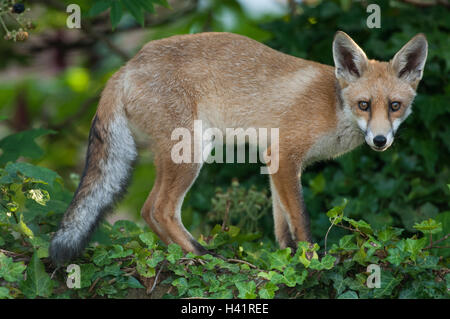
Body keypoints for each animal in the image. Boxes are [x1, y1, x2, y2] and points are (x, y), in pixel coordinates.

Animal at [49, 30, 428, 264]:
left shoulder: (274, 162)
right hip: (192, 152)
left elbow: (282, 227)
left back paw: (185, 256)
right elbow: (302, 221)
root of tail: (125, 67)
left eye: (394, 106)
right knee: (158, 209)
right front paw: (312, 262)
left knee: (148, 211)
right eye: (364, 105)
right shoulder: (286, 156)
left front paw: (286, 262)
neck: (334, 108)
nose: (380, 140)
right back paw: (204, 257)